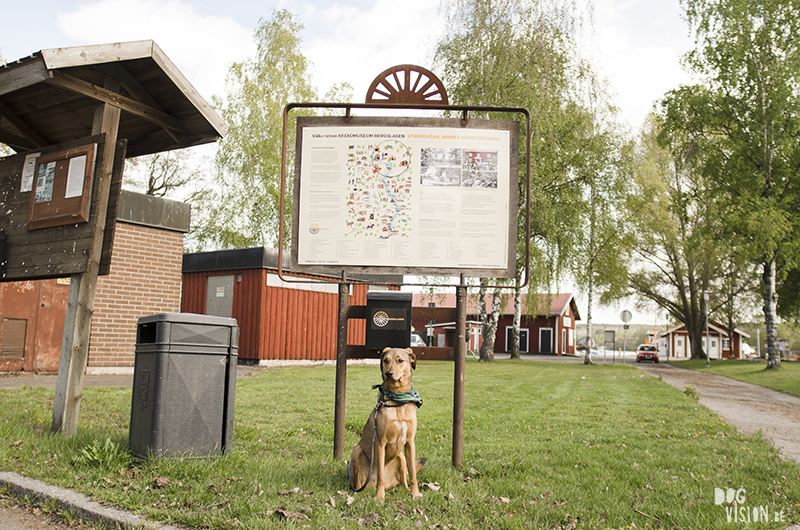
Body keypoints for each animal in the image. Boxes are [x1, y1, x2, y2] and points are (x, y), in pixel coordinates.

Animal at [348, 344, 424, 498]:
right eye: (385, 360)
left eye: (400, 360)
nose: (388, 373)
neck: (398, 400)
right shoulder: (380, 442)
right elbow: (381, 476)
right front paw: (379, 497)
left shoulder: (410, 442)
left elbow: (413, 474)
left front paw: (415, 494)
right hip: (357, 451)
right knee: (359, 482)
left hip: (401, 457)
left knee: (404, 477)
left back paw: (407, 490)